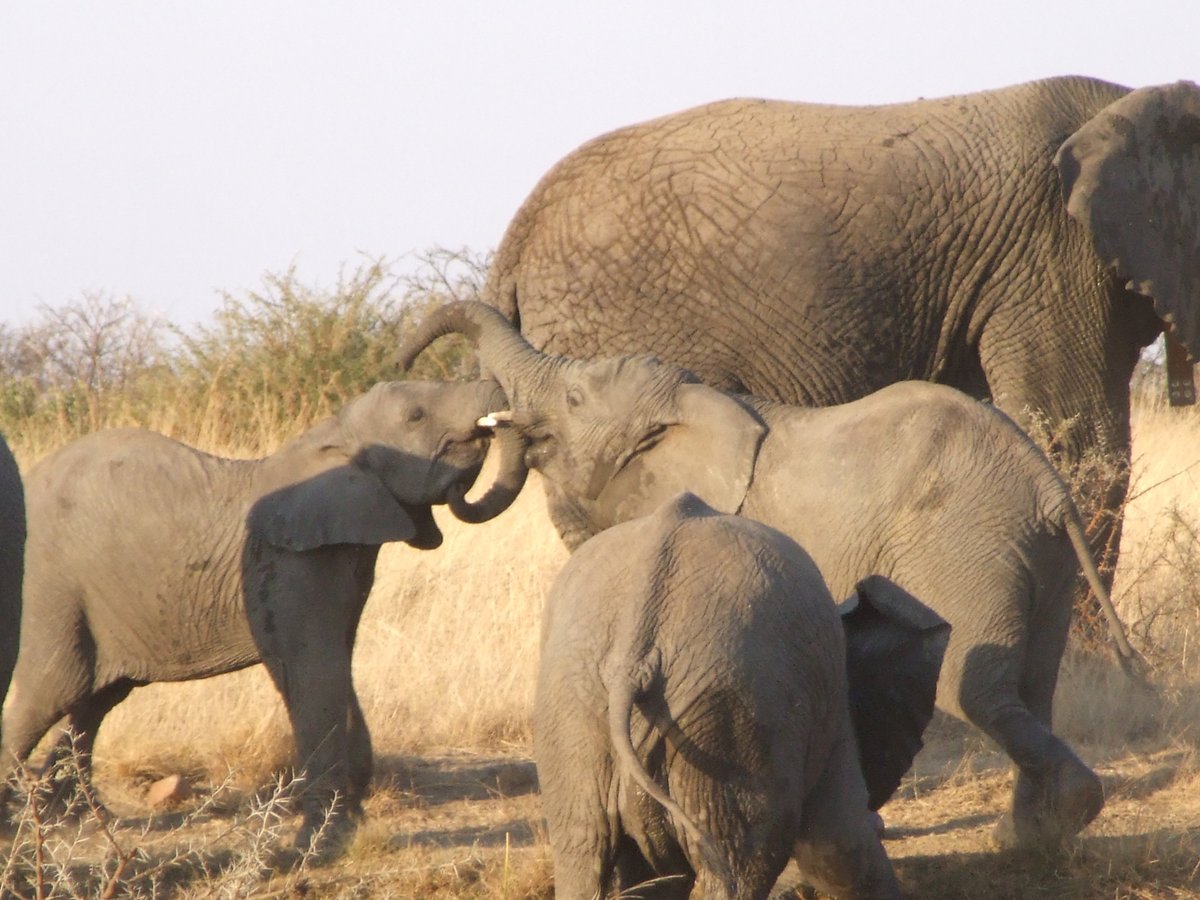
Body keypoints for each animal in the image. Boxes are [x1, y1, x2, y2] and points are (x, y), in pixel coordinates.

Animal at [0, 379, 527, 850]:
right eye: (416, 416)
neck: (331, 434)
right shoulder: (290, 562)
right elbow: (314, 669)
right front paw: (320, 845)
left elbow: (339, 665)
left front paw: (350, 825)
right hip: (49, 589)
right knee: (49, 691)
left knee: (94, 703)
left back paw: (80, 821)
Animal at [400, 300, 1143, 848]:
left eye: (576, 398)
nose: (405, 365)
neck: (692, 402)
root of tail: (1046, 484)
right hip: (1038, 555)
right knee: (1036, 680)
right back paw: (1034, 836)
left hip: (965, 545)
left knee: (974, 684)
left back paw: (1050, 823)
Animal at [535, 491, 949, 899]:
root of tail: (635, 649)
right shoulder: (832, 708)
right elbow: (838, 844)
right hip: (731, 714)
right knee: (741, 865)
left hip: (574, 708)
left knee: (583, 855)